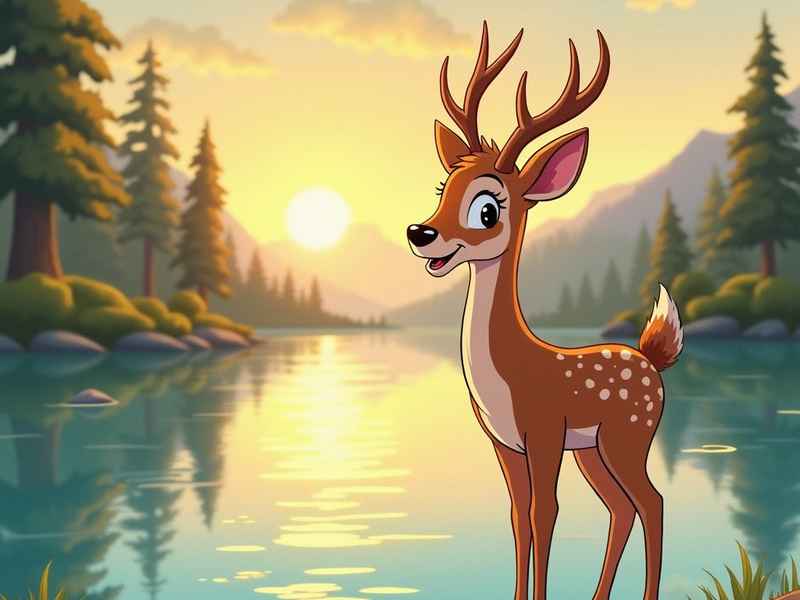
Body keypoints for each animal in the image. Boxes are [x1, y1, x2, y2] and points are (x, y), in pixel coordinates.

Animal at [406, 22, 683, 600]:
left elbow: (545, 513)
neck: (510, 373)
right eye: (444, 188)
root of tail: (653, 359)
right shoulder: (504, 441)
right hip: (593, 451)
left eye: (488, 208)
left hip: (629, 434)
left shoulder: (545, 429)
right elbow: (518, 517)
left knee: (651, 502)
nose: (420, 233)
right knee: (621, 508)